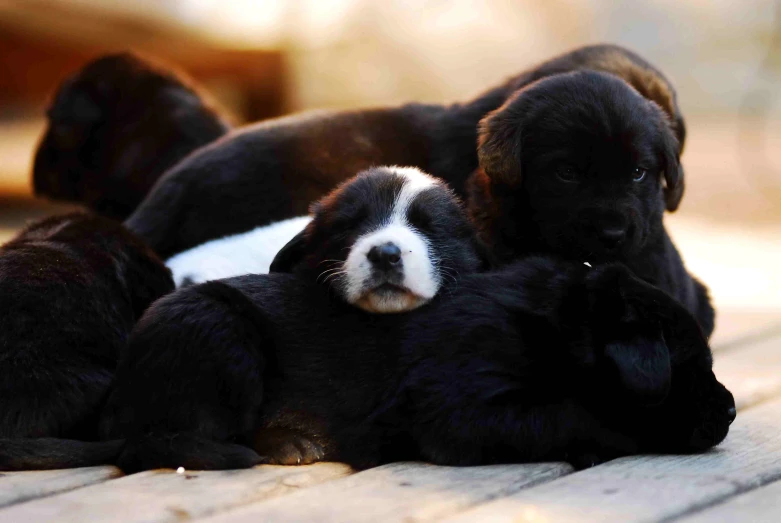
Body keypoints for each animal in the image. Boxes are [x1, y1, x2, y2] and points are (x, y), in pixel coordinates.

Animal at [94, 258, 736, 474]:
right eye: (693, 368)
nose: (731, 410)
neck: (557, 330)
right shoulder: (457, 407)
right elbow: (574, 412)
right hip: (218, 328)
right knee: (155, 440)